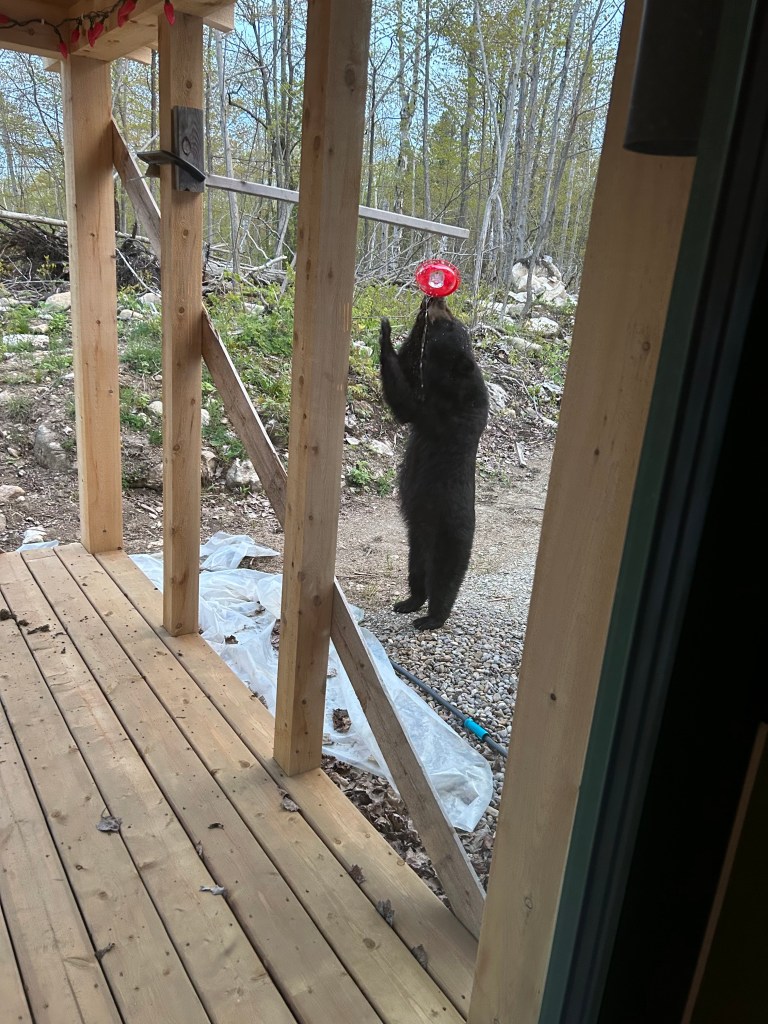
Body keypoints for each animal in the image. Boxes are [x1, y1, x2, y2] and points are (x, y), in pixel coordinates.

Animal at [379, 295, 489, 630]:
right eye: (452, 316)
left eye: (450, 324)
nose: (437, 300)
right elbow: (410, 373)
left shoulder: (445, 413)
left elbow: (405, 403)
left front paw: (385, 334)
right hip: (416, 542)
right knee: (418, 575)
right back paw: (408, 602)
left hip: (449, 538)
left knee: (444, 582)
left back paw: (431, 618)